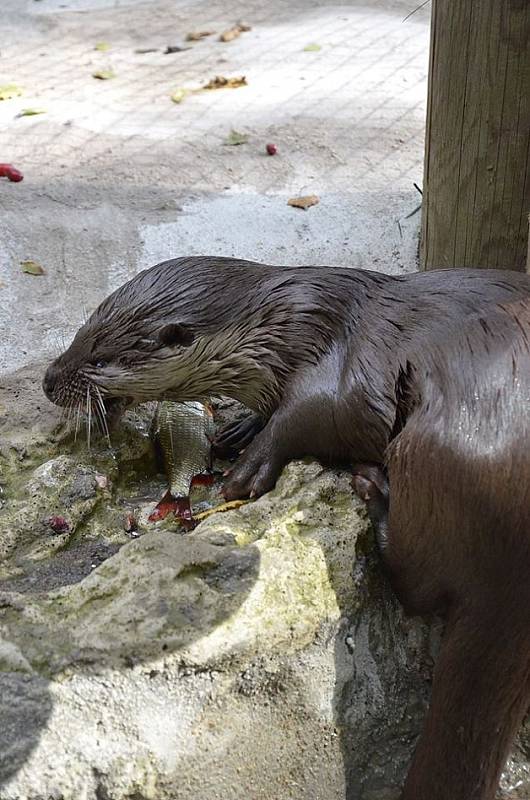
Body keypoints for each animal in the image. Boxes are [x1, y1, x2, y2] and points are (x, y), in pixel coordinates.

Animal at [42, 258, 528, 800]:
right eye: (82, 333)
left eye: (101, 359)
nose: (48, 379)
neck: (291, 327)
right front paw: (241, 428)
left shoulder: (341, 371)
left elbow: (311, 415)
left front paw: (248, 468)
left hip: (435, 450)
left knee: (416, 582)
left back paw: (375, 492)